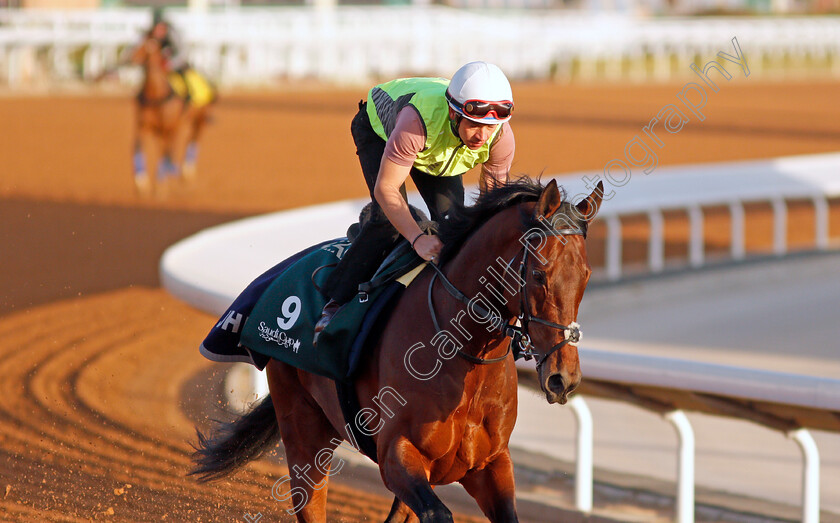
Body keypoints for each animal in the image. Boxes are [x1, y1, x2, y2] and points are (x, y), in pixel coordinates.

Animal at [129, 33, 213, 196]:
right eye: (138, 41)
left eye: (150, 45)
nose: (132, 57)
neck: (156, 95)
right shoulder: (143, 126)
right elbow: (138, 146)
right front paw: (141, 182)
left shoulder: (166, 128)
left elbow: (164, 152)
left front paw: (160, 186)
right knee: (174, 144)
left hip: (198, 119)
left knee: (191, 140)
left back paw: (185, 172)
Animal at [191, 178, 604, 520]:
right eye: (538, 274)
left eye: (586, 276)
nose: (563, 378)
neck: (463, 354)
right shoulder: (397, 454)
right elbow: (438, 513)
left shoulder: (489, 464)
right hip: (302, 425)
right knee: (309, 497)